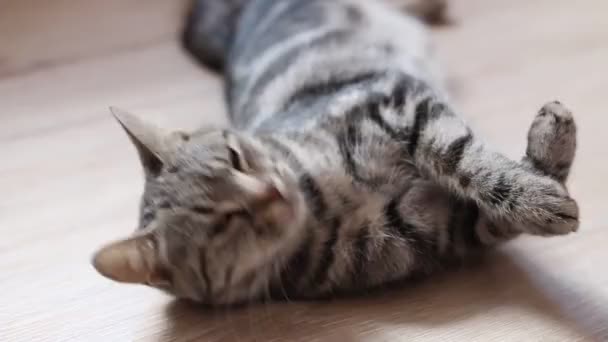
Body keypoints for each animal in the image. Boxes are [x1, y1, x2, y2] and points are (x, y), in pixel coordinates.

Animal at [92, 0, 576, 304]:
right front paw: (542, 188)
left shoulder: (395, 100)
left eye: (234, 157)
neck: (323, 198)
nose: (272, 192)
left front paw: (540, 167)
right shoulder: (436, 228)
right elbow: (491, 208)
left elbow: (463, 156)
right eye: (222, 224)